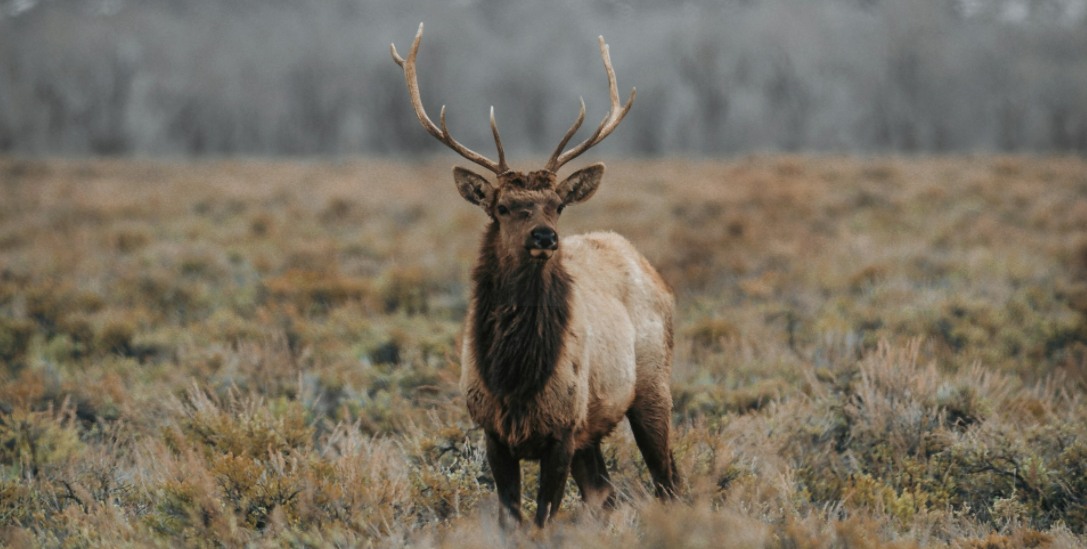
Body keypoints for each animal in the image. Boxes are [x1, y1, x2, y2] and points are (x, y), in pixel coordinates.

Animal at [391, 22, 678, 526]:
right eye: (503, 207)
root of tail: (651, 271)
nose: (546, 237)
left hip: (652, 385)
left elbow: (542, 519)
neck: (516, 378)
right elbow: (513, 519)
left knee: (669, 482)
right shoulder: (493, 432)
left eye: (557, 205)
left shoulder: (562, 430)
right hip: (594, 427)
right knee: (605, 494)